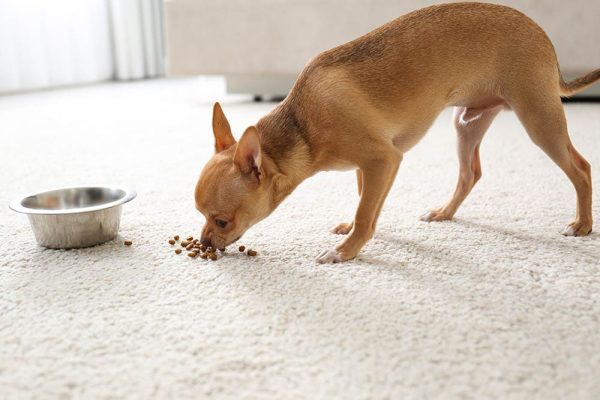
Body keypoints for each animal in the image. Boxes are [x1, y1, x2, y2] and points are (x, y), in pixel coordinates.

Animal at [195, 2, 596, 262]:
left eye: (221, 220)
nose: (206, 242)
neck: (304, 127)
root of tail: (541, 33)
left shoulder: (383, 159)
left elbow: (365, 211)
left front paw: (346, 251)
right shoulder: (373, 167)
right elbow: (366, 204)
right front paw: (358, 232)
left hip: (538, 119)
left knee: (581, 168)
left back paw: (582, 225)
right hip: (467, 122)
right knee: (470, 173)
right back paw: (444, 213)